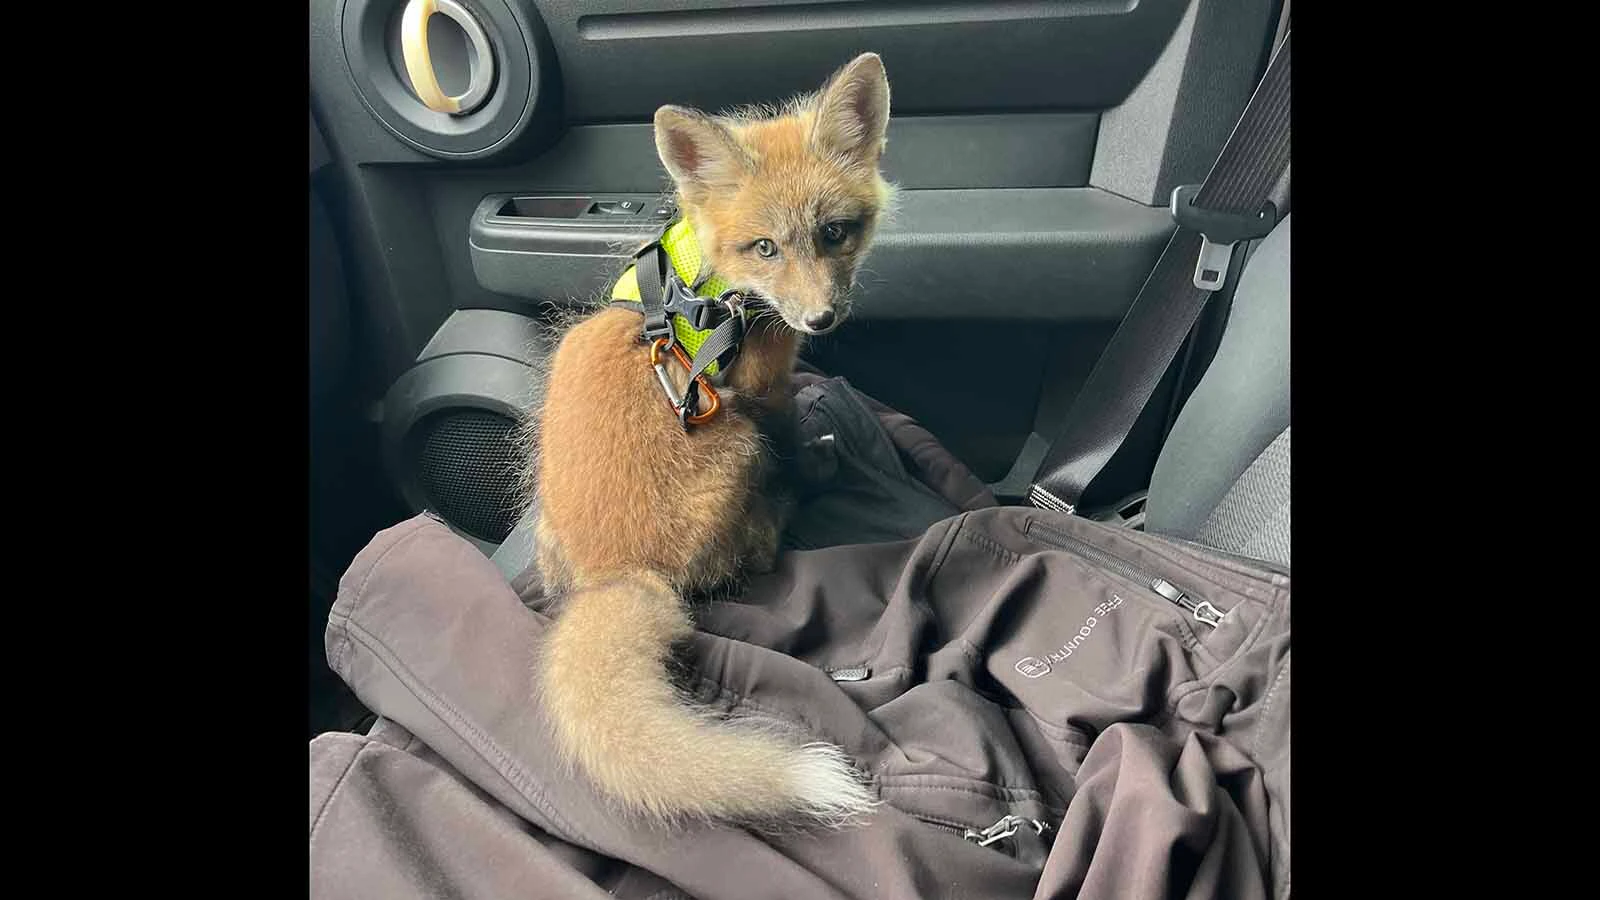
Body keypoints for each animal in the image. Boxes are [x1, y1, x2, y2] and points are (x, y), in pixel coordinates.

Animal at [529, 53, 894, 829]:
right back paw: (783, 508)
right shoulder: (763, 393)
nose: (820, 320)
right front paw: (815, 466)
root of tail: (616, 574)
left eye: (835, 232)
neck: (712, 282)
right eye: (767, 247)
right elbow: (792, 438)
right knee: (754, 550)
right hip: (738, 449)